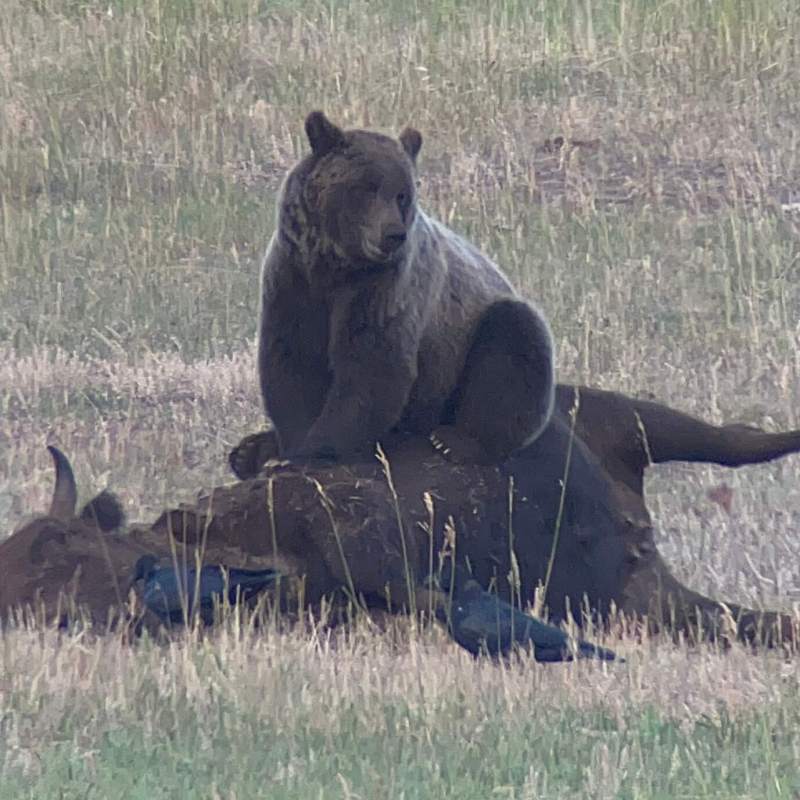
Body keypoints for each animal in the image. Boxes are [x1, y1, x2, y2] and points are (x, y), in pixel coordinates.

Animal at [232, 111, 554, 476]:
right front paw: (286, 449)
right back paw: (248, 450)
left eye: (402, 194)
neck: (334, 266)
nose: (393, 234)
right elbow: (291, 361)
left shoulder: (383, 289)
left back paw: (455, 441)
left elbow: (373, 365)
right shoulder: (293, 280)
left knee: (513, 345)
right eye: (366, 187)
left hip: (469, 336)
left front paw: (315, 449)